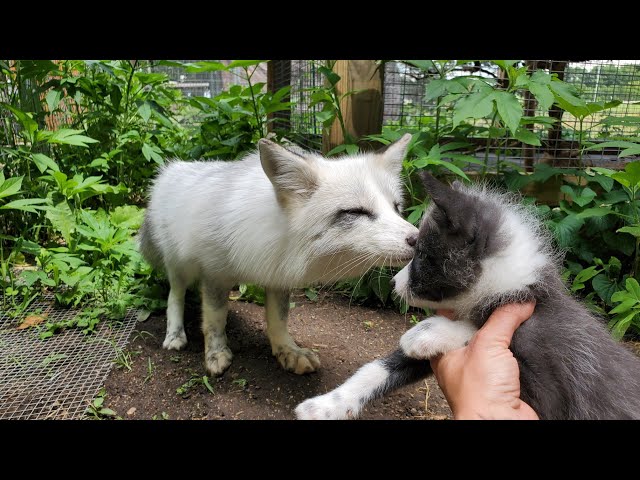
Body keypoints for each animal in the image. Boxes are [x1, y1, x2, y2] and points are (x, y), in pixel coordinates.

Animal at [139, 134, 418, 376]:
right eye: (356, 212)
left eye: (396, 208)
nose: (418, 239)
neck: (275, 232)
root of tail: (170, 171)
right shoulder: (214, 273)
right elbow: (215, 320)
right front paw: (216, 353)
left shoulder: (277, 274)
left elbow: (278, 319)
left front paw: (288, 350)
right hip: (180, 265)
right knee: (175, 295)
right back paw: (175, 334)